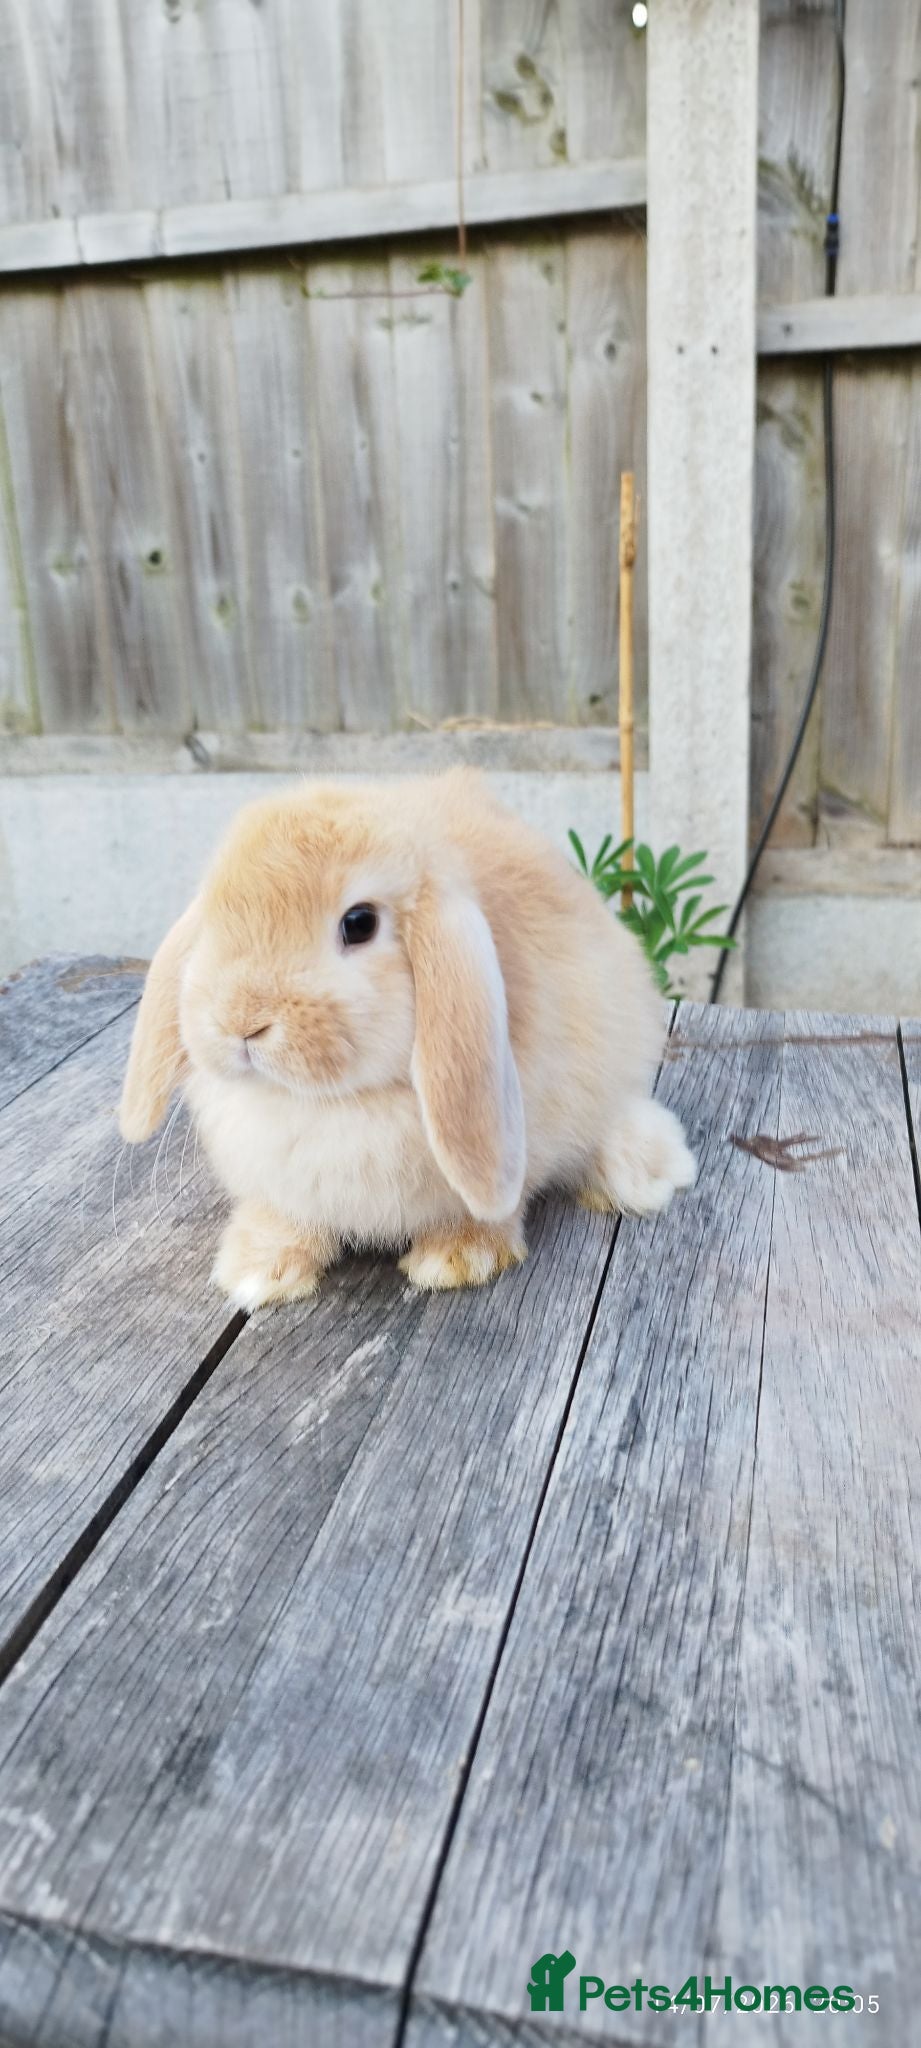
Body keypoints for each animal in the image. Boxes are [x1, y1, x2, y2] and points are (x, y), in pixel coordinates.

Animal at [119, 769, 695, 1306]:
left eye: (358, 923)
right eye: (216, 918)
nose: (239, 1021)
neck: (329, 1103)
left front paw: (458, 1256)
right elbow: (287, 1217)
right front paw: (257, 1268)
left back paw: (647, 1170)